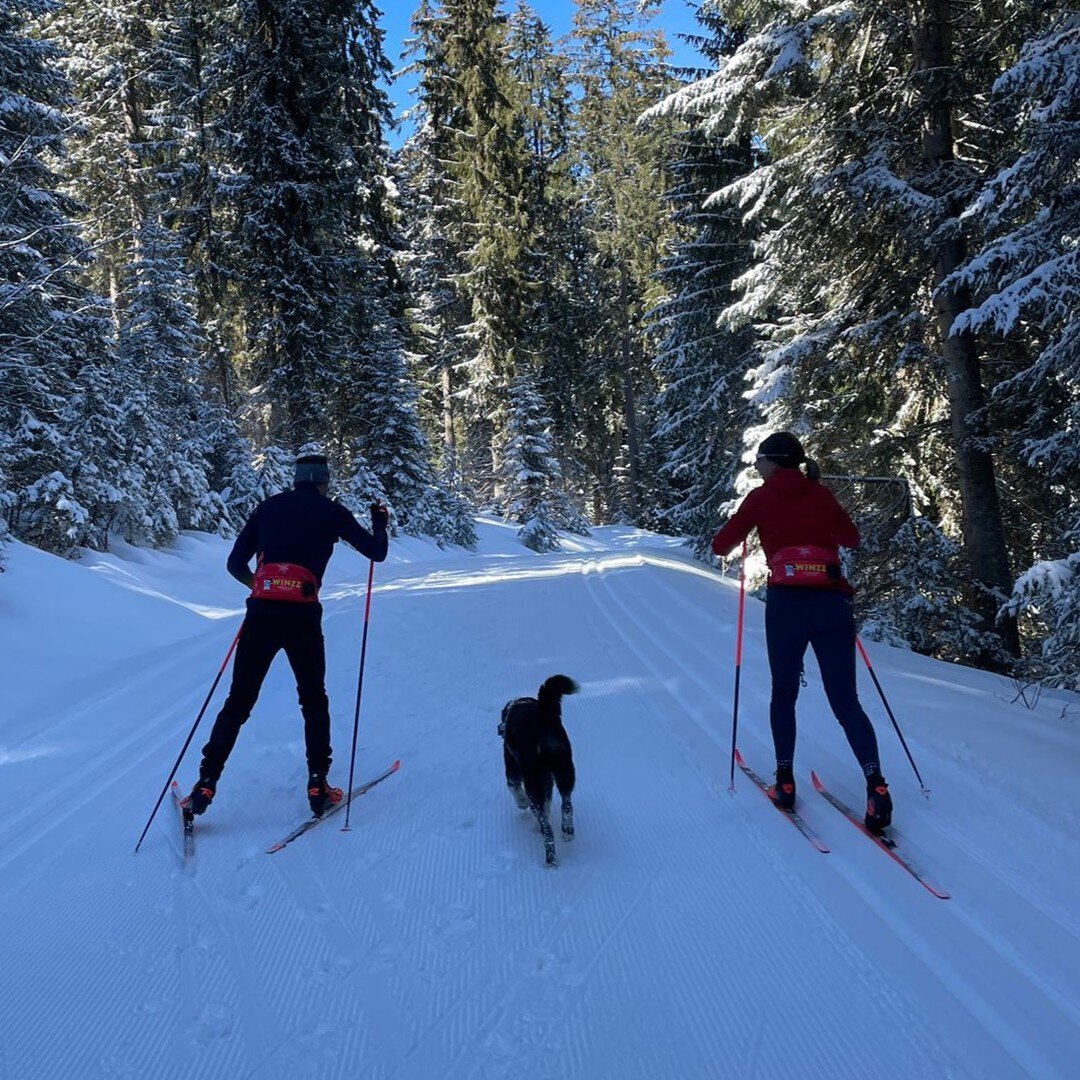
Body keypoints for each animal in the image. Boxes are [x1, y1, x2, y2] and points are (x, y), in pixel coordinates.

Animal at [498, 673, 578, 868]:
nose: (499, 729)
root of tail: (544, 715)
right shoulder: (547, 782)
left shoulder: (512, 769)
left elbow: (515, 791)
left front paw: (522, 803)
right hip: (565, 774)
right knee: (566, 805)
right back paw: (567, 832)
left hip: (533, 782)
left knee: (547, 829)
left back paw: (551, 860)